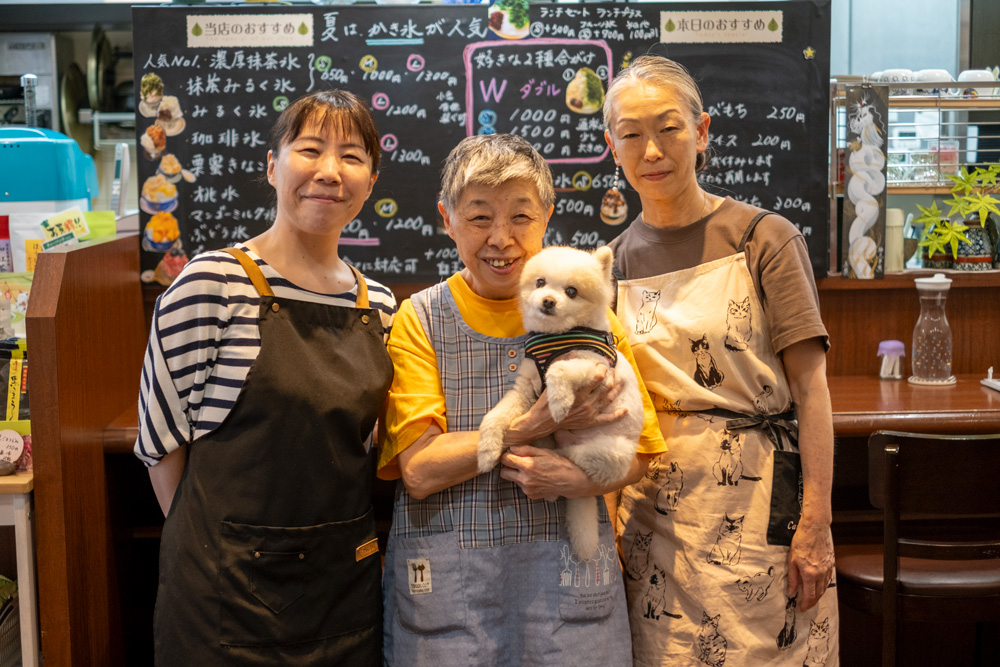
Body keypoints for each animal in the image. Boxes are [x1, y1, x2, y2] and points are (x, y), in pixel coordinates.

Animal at [480, 245, 644, 560]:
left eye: (571, 291)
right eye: (540, 283)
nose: (548, 301)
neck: (557, 338)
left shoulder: (594, 368)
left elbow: (557, 370)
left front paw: (558, 402)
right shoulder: (526, 388)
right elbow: (495, 416)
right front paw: (486, 451)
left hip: (613, 452)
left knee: (577, 462)